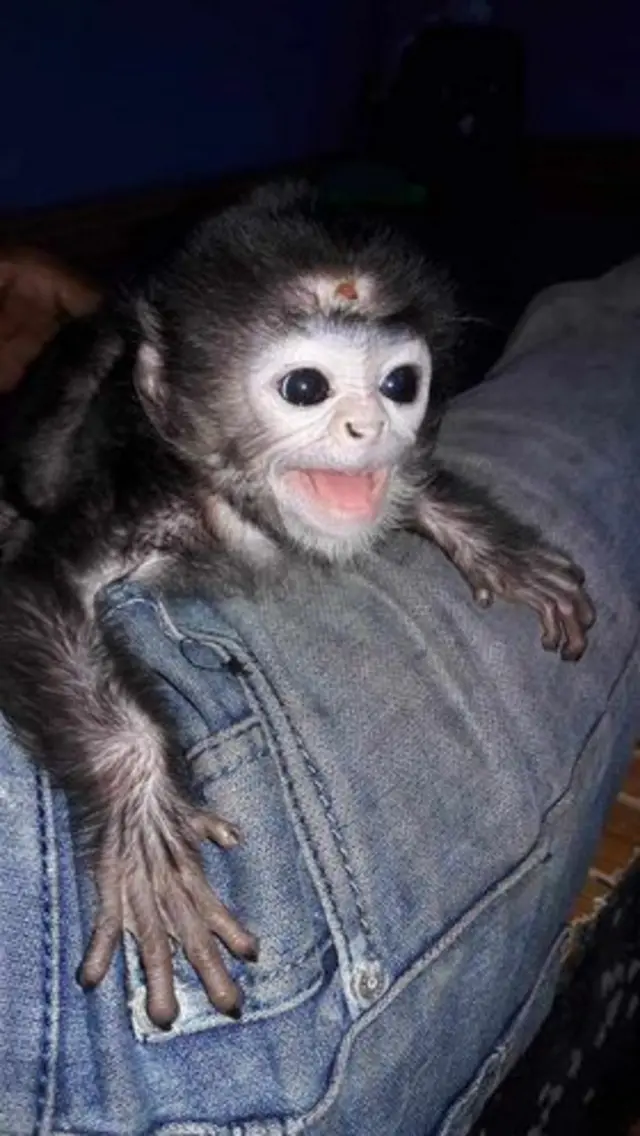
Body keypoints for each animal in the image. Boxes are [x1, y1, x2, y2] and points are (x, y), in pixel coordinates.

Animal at [0, 179, 595, 1030]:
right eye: (306, 388)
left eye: (400, 385)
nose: (369, 426)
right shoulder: (141, 498)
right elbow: (35, 591)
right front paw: (147, 828)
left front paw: (496, 548)